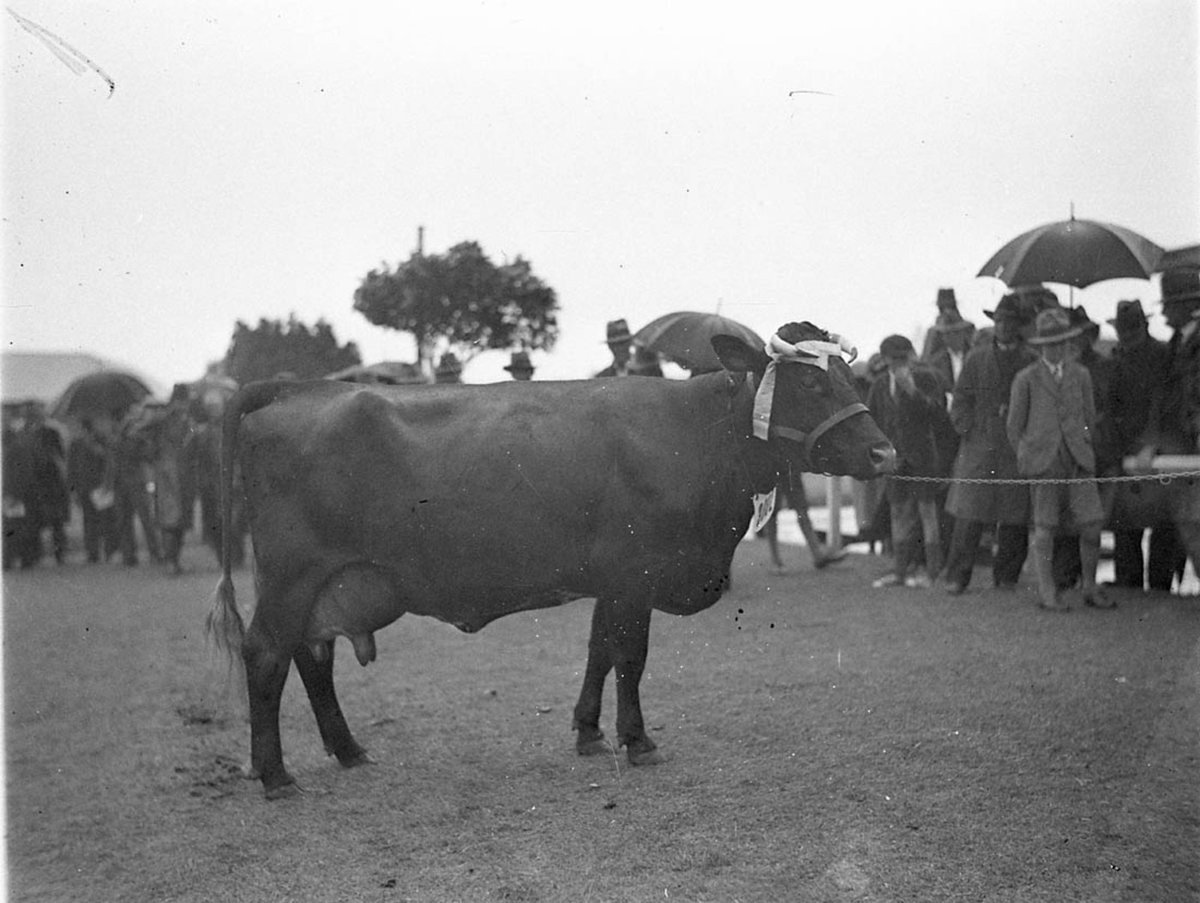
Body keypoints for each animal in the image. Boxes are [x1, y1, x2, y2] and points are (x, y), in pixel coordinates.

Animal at [207, 321, 895, 798]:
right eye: (810, 381)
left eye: (849, 376)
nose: (885, 453)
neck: (695, 434)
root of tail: (297, 387)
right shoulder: (634, 573)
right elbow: (629, 657)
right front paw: (637, 740)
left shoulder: (612, 582)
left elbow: (599, 651)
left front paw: (589, 732)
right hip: (293, 576)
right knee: (268, 655)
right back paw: (275, 775)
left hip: (325, 582)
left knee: (311, 655)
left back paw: (347, 748)